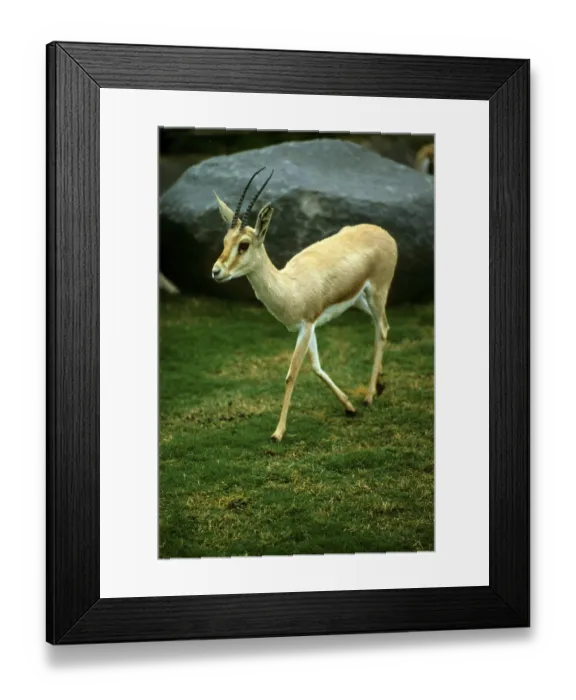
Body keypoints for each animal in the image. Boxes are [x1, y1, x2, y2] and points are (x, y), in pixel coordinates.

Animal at [212, 168, 398, 442]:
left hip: (377, 292)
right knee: (381, 326)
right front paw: (348, 406)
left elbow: (292, 374)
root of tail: (383, 232)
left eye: (244, 244)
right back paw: (378, 386)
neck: (290, 288)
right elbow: (317, 366)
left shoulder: (307, 326)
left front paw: (278, 433)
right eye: (225, 241)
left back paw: (369, 396)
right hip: (359, 301)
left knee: (382, 329)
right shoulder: (309, 328)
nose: (216, 272)